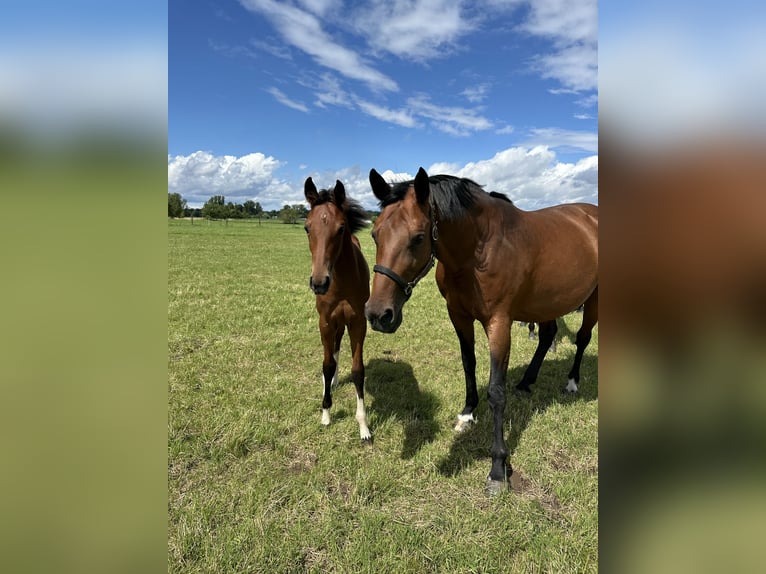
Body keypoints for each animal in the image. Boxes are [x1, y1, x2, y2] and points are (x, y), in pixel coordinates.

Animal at [304, 178, 374, 444]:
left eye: (341, 228)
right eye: (307, 228)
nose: (319, 282)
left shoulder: (358, 323)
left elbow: (358, 370)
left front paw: (363, 427)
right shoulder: (325, 322)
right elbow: (327, 364)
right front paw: (325, 413)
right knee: (332, 352)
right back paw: (330, 382)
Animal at [366, 166, 600, 496]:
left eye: (418, 238)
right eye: (375, 235)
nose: (378, 315)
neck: (479, 250)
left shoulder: (499, 323)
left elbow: (496, 391)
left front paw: (498, 468)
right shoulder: (459, 316)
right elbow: (469, 364)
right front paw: (467, 414)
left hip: (592, 299)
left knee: (582, 339)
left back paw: (571, 382)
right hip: (547, 303)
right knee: (547, 336)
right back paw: (527, 382)